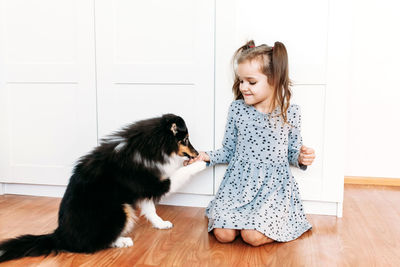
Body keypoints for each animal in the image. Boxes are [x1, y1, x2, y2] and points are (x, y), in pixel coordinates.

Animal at [0, 113, 206, 264]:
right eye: (185, 139)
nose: (196, 152)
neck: (153, 145)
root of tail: (60, 235)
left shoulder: (143, 190)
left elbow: (151, 209)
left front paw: (161, 224)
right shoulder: (153, 183)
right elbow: (179, 174)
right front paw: (202, 162)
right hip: (120, 209)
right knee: (96, 243)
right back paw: (123, 240)